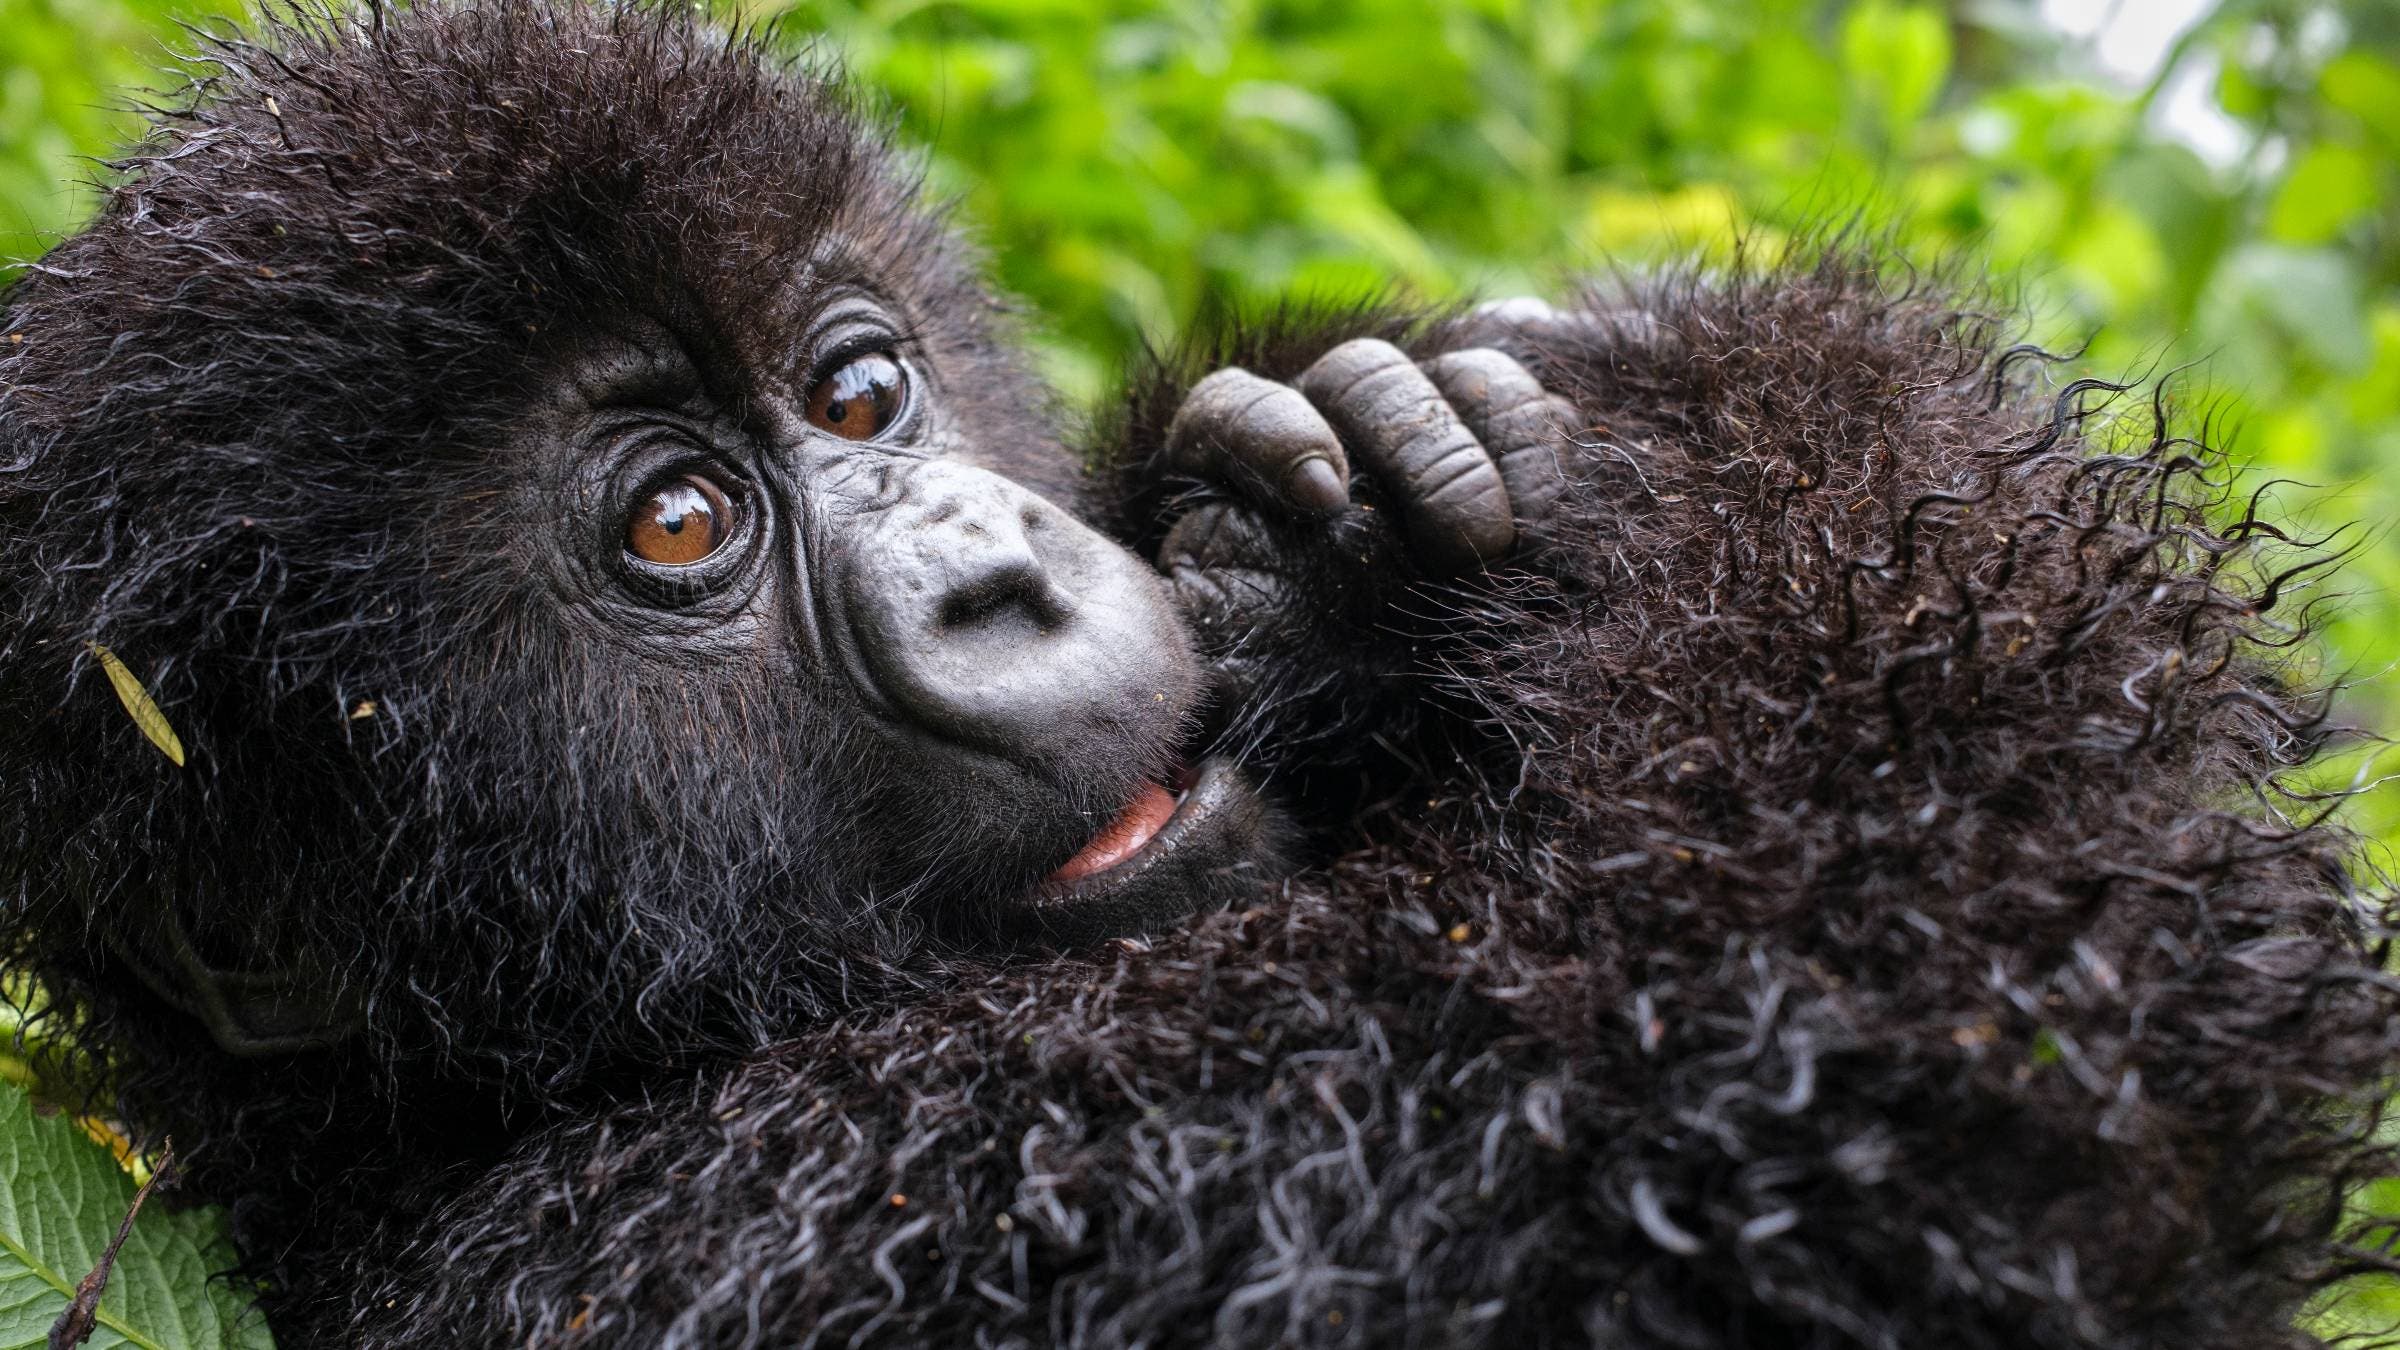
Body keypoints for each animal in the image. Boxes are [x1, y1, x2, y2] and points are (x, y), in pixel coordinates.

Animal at [0, 4, 2391, 1348]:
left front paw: (1341, 486)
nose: (998, 574)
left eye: (857, 392)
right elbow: (1874, 996)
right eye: (678, 529)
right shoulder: (837, 1215)